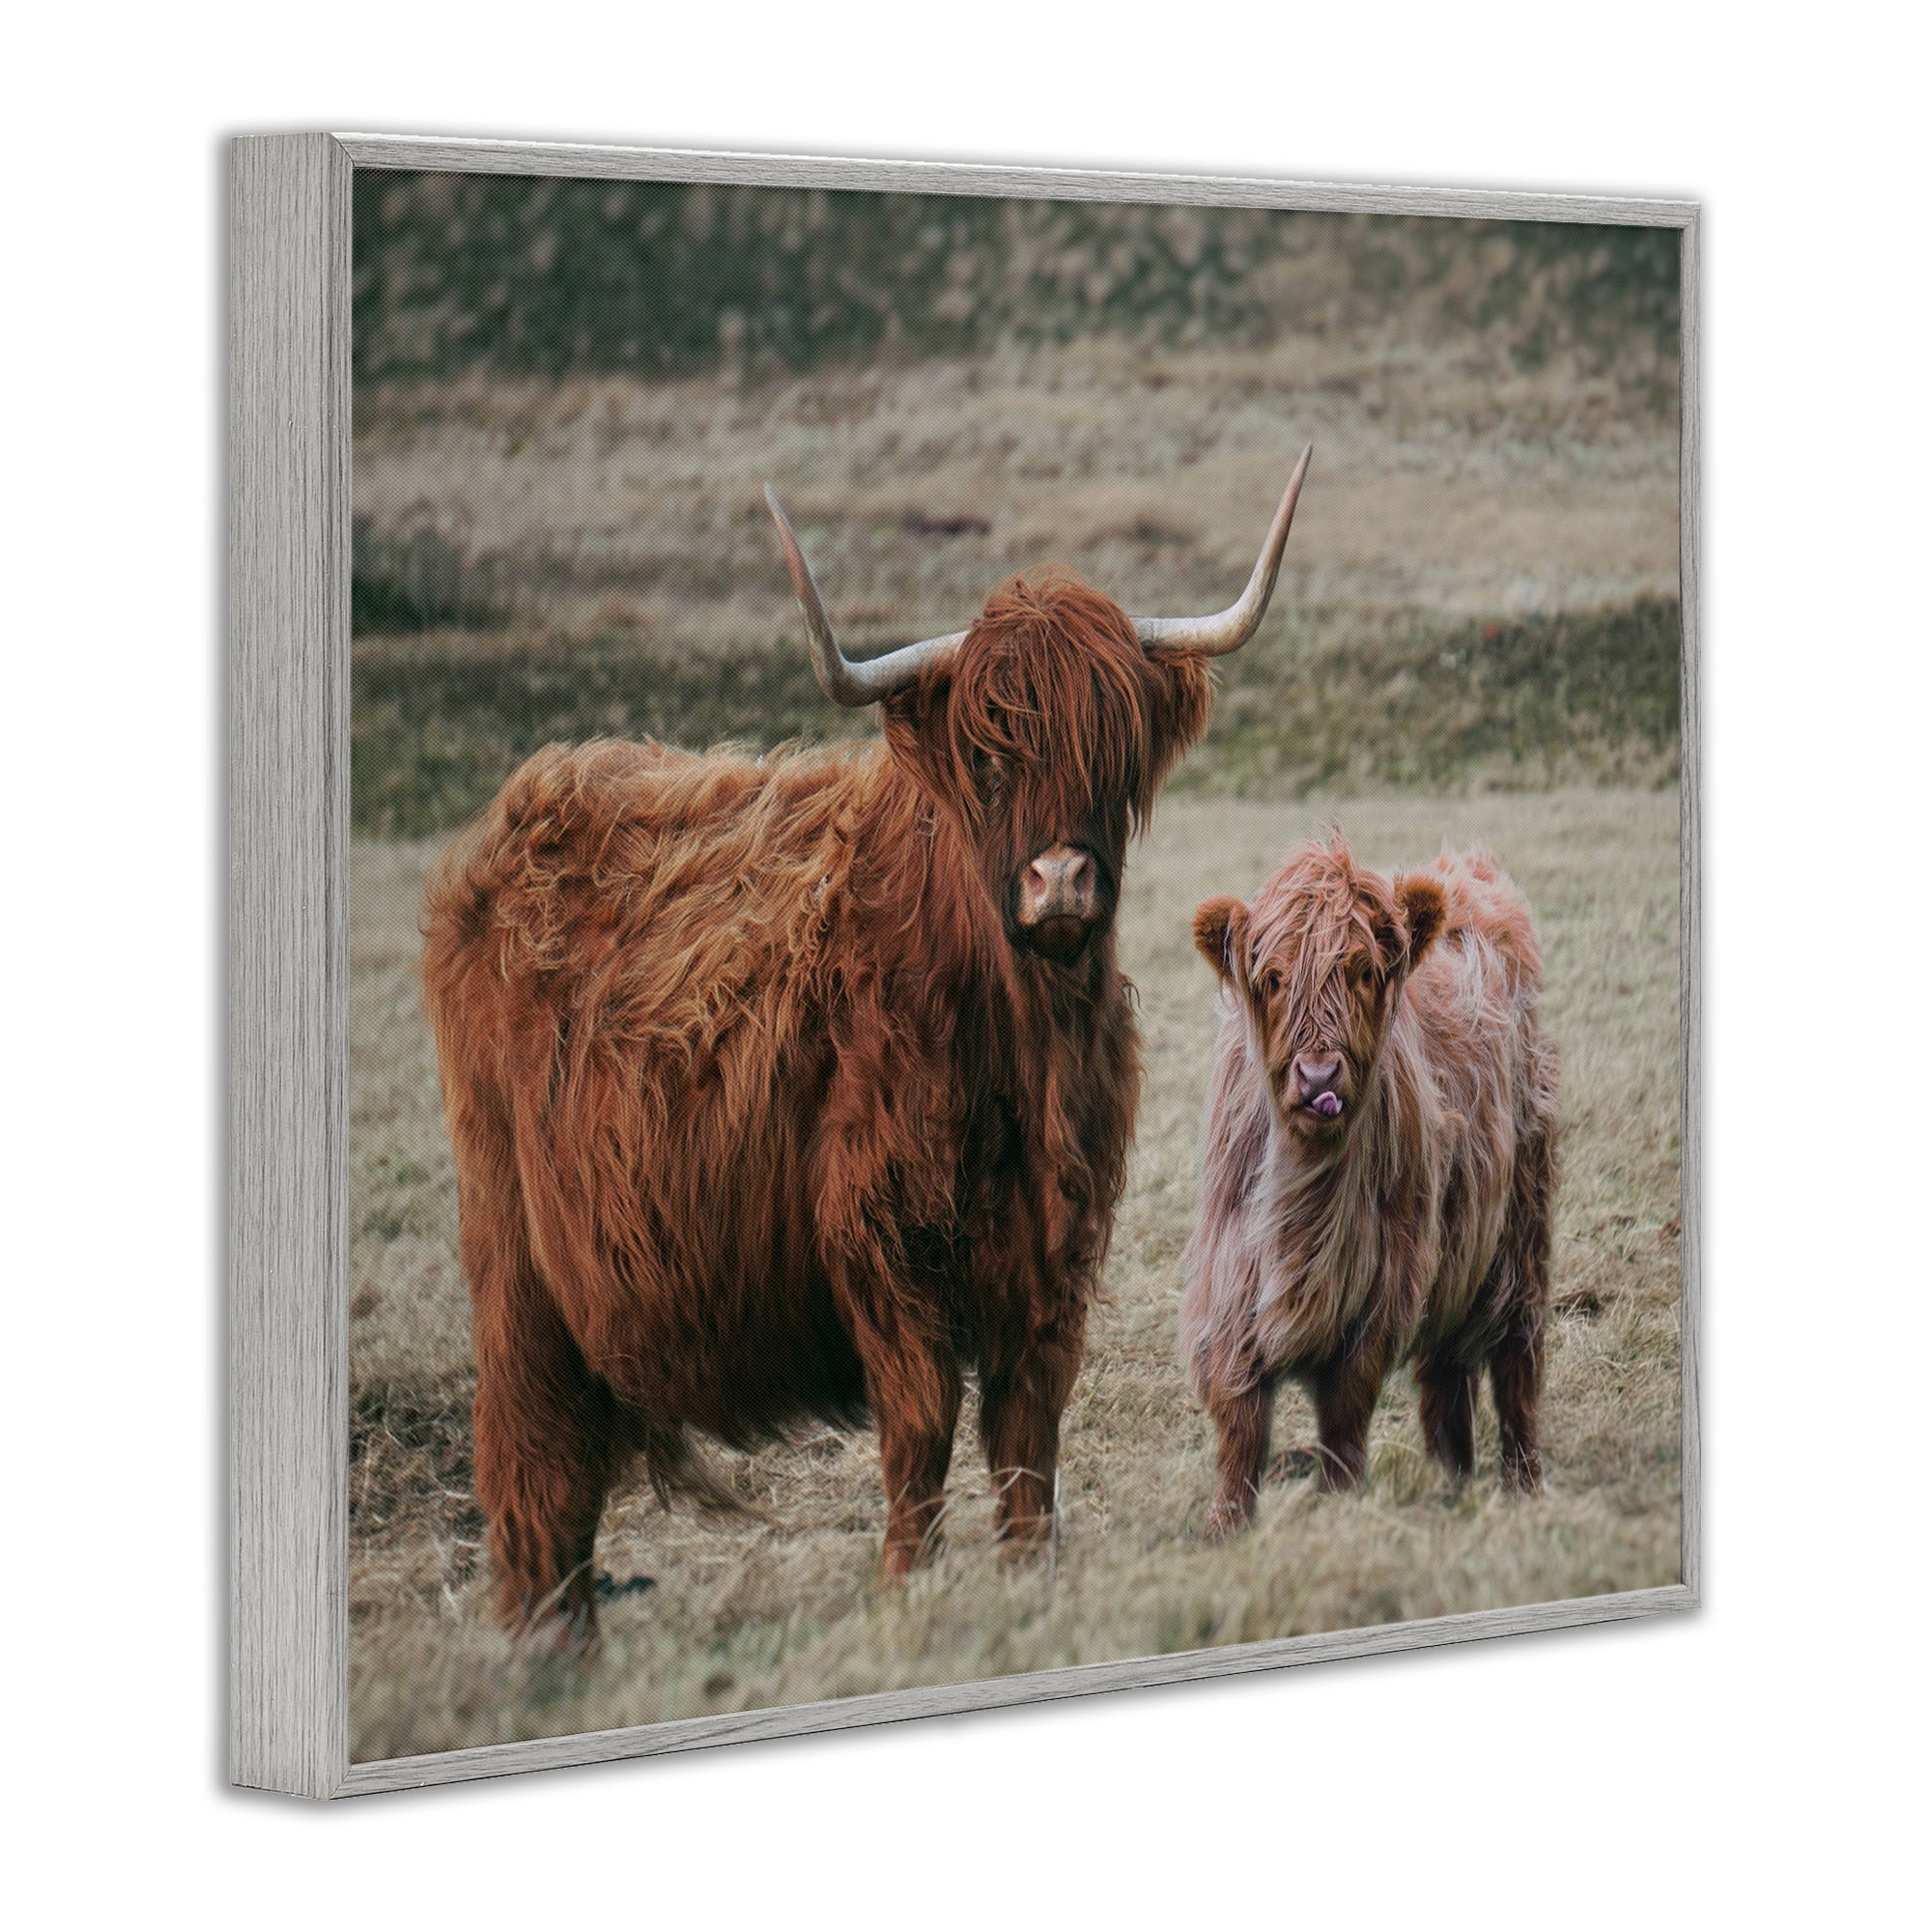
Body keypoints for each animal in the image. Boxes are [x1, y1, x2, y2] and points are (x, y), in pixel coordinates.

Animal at [421, 448, 1315, 1644]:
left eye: (1112, 748)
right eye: (986, 755)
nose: (1060, 881)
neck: (1017, 1044)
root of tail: (528, 804)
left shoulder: (1055, 1247)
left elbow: (1027, 1430)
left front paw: (1028, 1574)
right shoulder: (881, 1236)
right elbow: (921, 1422)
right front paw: (902, 1587)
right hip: (513, 1244)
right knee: (531, 1453)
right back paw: (545, 1645)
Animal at [1179, 832, 1558, 1537]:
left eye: (1361, 971)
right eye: (1274, 979)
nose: (1318, 1076)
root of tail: (1466, 869)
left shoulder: (1381, 1288)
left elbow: (1344, 1413)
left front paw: (1336, 1506)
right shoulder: (1230, 1280)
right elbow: (1239, 1420)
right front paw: (1225, 1526)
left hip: (1522, 1220)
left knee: (1517, 1358)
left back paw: (1523, 1485)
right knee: (1447, 1373)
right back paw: (1450, 1482)